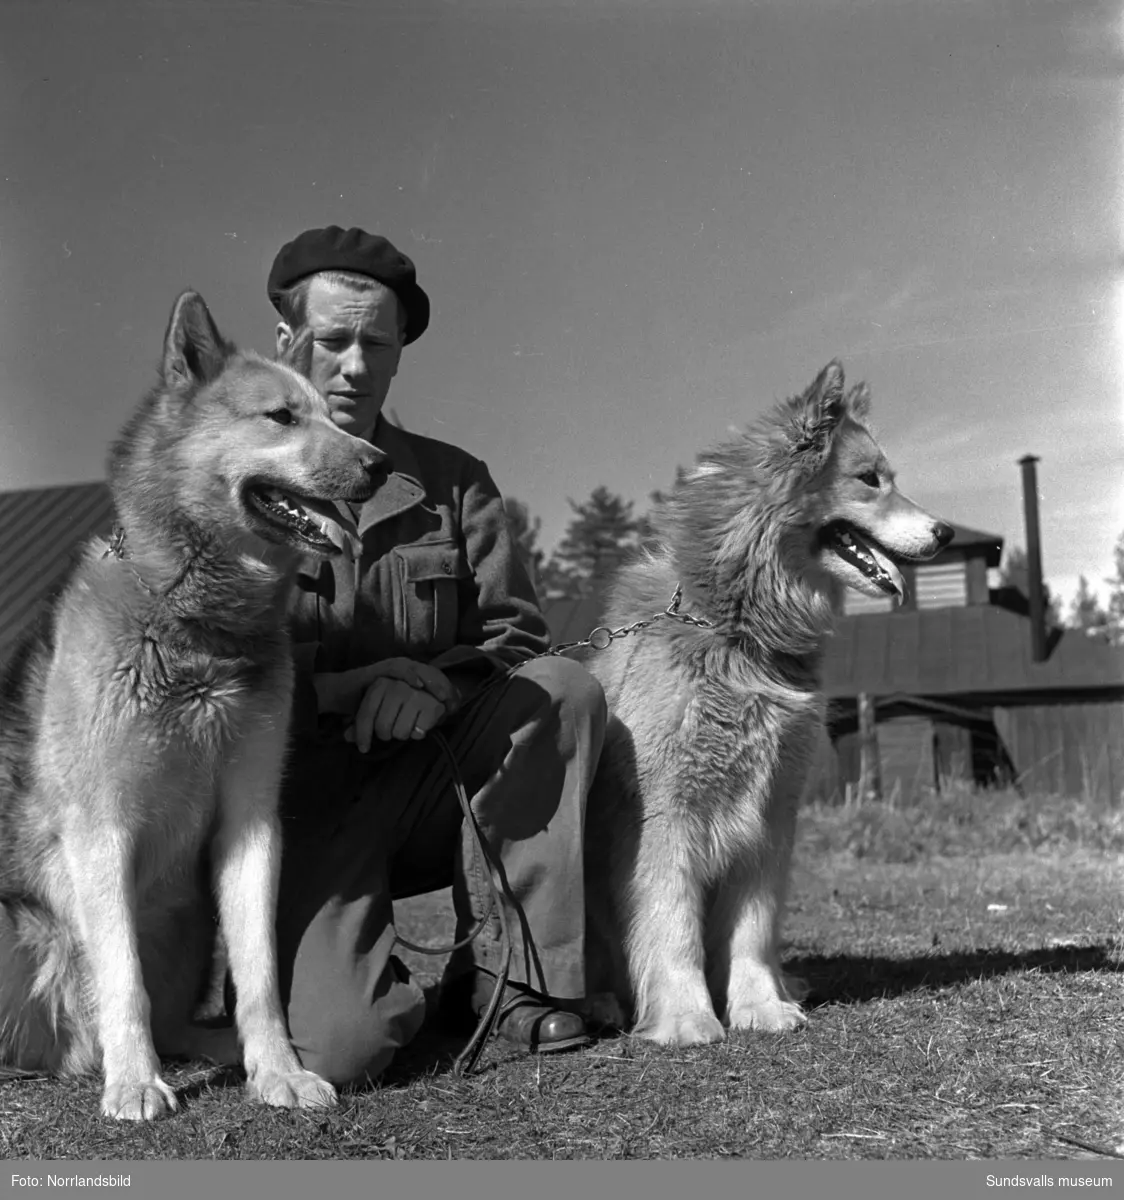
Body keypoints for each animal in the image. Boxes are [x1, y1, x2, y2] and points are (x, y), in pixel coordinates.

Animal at [0, 288, 383, 1113]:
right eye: (281, 417)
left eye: (330, 415)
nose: (381, 462)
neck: (192, 624)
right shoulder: (100, 830)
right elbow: (123, 979)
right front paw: (134, 1082)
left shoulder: (251, 822)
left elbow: (260, 976)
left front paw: (277, 1069)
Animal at [582, 360, 950, 1046]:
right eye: (870, 480)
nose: (947, 532)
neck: (734, 630)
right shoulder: (664, 817)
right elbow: (671, 924)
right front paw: (685, 1018)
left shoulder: (771, 816)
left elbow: (751, 931)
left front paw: (759, 1006)